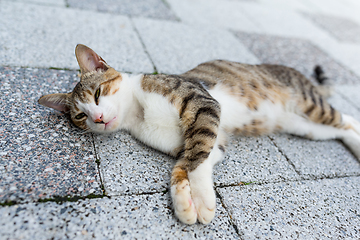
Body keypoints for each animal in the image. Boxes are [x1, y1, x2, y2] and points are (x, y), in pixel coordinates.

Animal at [38, 43, 360, 225]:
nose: (99, 117)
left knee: (344, 117)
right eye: (80, 116)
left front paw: (197, 199)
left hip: (309, 105)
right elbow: (192, 161)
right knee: (343, 127)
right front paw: (191, 201)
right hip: (304, 126)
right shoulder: (207, 140)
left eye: (98, 93)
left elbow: (196, 157)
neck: (138, 111)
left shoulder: (203, 103)